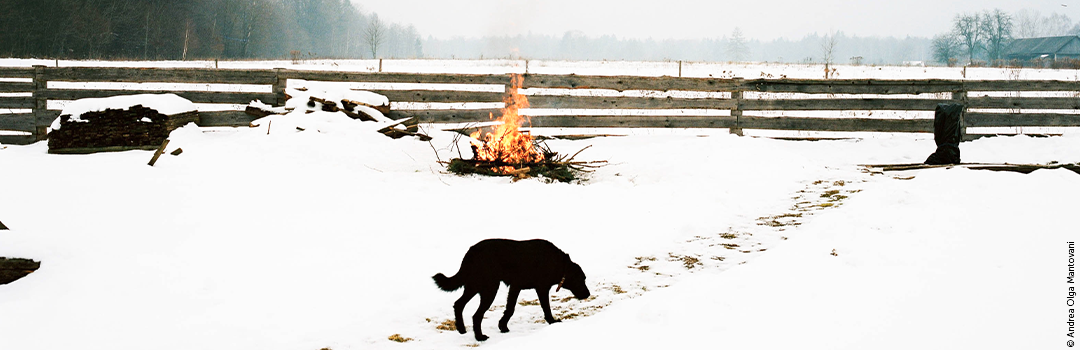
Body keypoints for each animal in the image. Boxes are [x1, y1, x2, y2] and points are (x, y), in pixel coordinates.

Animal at [432, 238, 591, 341]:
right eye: (582, 279)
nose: (588, 294)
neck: (559, 264)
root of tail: (471, 251)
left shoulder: (516, 287)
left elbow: (510, 308)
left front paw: (502, 326)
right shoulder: (540, 288)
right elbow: (545, 307)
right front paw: (552, 322)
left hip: (474, 286)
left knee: (458, 304)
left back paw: (462, 329)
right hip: (489, 289)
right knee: (476, 315)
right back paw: (479, 337)